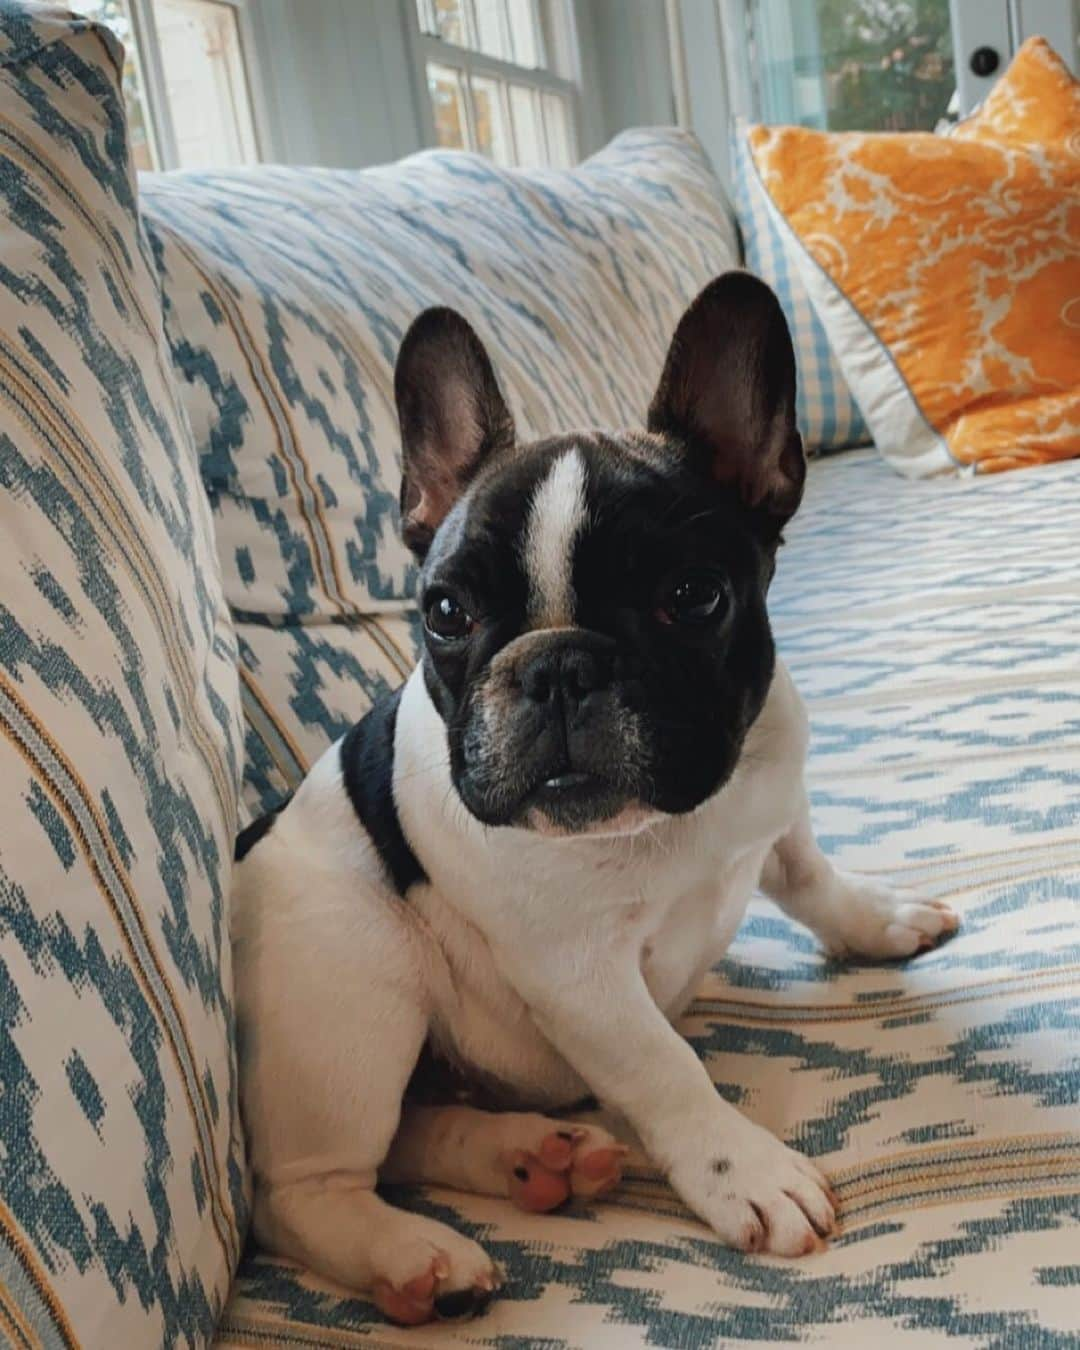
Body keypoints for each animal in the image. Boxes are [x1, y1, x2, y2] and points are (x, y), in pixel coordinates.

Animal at [232, 268, 955, 1323]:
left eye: (694, 597)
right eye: (445, 612)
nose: (559, 666)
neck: (672, 823)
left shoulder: (773, 804)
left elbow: (811, 877)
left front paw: (879, 917)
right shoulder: (580, 978)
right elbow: (665, 1068)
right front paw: (745, 1172)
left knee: (415, 1128)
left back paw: (533, 1156)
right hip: (354, 986)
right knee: (303, 1189)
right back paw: (413, 1254)